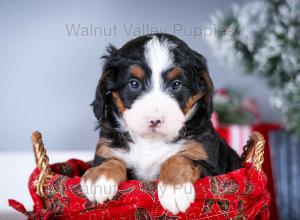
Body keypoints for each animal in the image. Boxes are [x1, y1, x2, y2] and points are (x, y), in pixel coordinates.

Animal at [80, 33, 241, 214]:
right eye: (134, 83)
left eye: (176, 84)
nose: (155, 120)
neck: (150, 141)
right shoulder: (107, 148)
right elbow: (113, 160)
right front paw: (100, 177)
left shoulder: (209, 164)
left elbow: (179, 159)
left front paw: (174, 188)